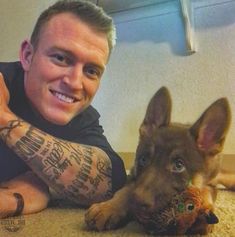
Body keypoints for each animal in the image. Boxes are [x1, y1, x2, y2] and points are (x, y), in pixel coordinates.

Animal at [84, 87, 233, 235]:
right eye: (143, 159)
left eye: (179, 165)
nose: (136, 202)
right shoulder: (133, 175)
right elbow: (126, 190)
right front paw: (108, 207)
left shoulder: (208, 184)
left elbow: (206, 191)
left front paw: (205, 210)